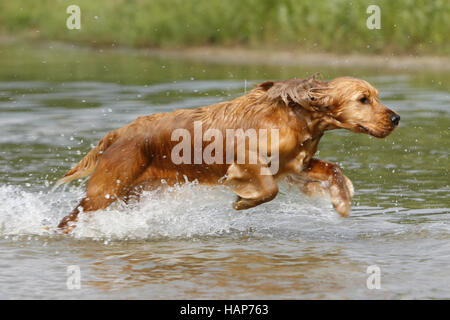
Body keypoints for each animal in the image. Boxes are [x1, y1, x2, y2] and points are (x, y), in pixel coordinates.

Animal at [55, 75, 398, 230]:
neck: (300, 115)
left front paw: (341, 199)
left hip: (132, 194)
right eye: (363, 99)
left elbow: (331, 168)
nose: (396, 118)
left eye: (376, 96)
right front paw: (243, 201)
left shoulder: (294, 166)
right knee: (70, 217)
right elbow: (268, 188)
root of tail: (120, 132)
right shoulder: (248, 158)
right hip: (104, 192)